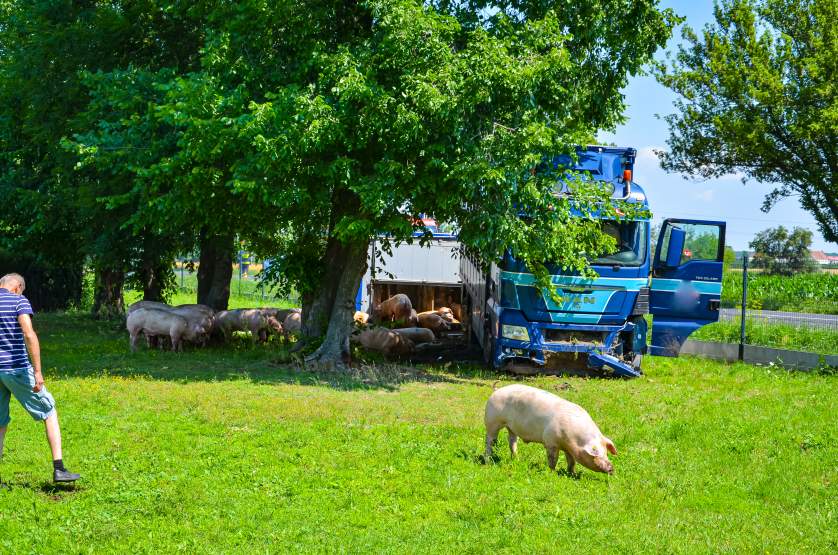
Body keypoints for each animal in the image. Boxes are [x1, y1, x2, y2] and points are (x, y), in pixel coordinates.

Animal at [486, 384, 616, 476]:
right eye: (596, 454)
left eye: (606, 453)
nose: (611, 468)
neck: (573, 440)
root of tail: (496, 389)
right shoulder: (550, 442)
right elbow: (553, 459)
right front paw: (552, 473)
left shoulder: (568, 448)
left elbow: (571, 461)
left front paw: (572, 474)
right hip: (492, 421)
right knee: (489, 441)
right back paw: (488, 461)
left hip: (511, 428)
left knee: (512, 441)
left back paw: (516, 459)